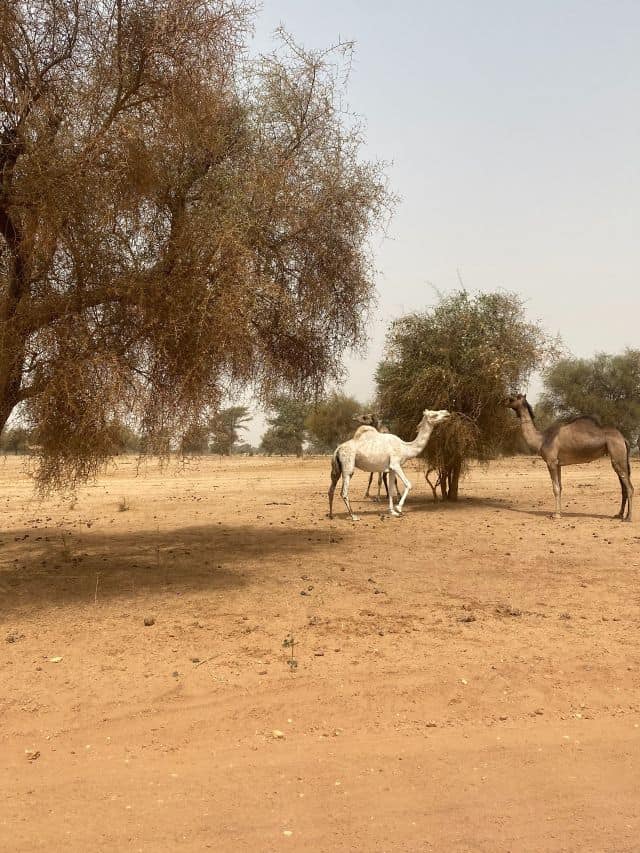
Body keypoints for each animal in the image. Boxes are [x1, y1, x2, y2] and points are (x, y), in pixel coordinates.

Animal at [506, 393, 633, 522]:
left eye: (512, 398)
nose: (504, 401)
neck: (541, 440)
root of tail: (623, 439)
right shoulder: (558, 464)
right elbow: (560, 487)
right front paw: (559, 512)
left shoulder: (551, 462)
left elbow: (555, 488)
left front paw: (556, 515)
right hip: (618, 457)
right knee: (623, 487)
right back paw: (619, 515)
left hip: (617, 453)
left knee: (629, 487)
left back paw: (628, 518)